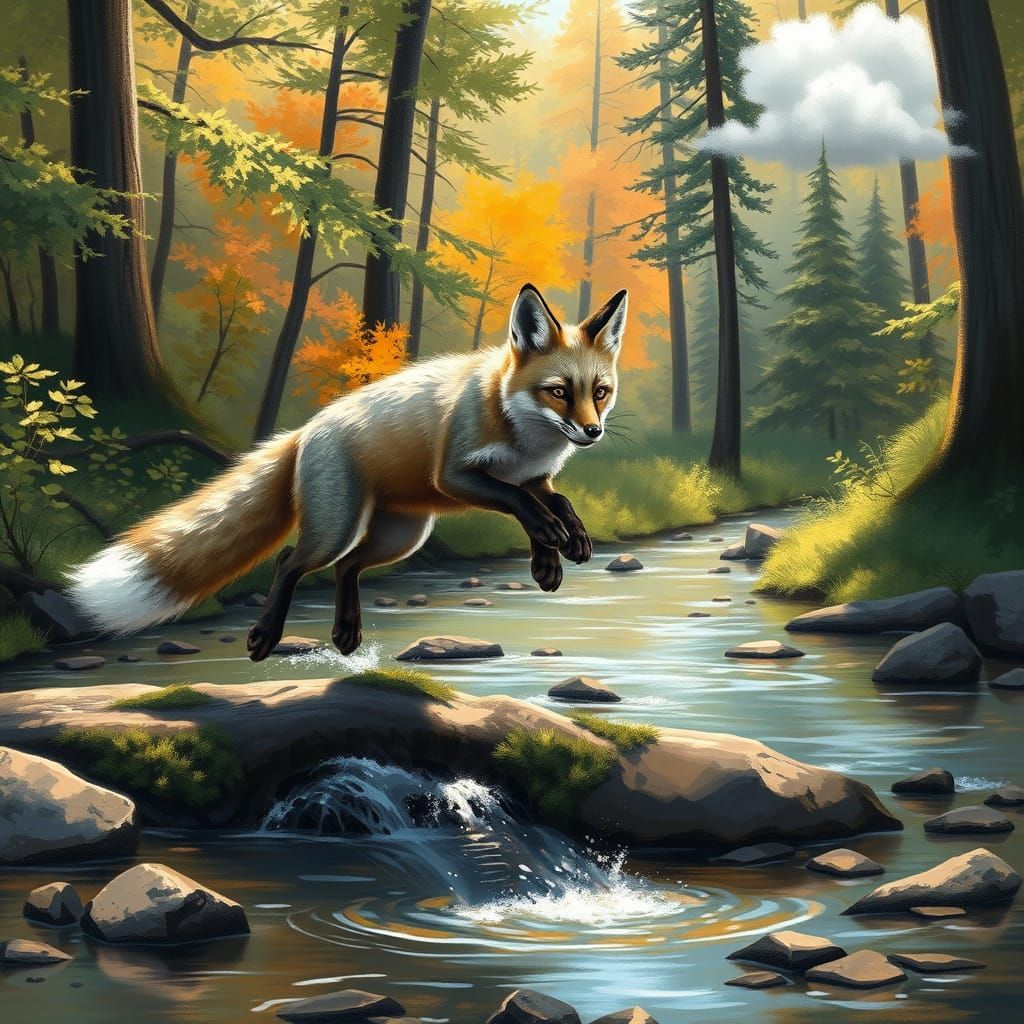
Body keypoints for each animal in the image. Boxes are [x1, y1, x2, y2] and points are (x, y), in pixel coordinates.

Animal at [68, 283, 628, 661]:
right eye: (559, 391)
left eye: (599, 391)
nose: (592, 431)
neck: (523, 434)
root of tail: (304, 430)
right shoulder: (456, 476)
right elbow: (522, 506)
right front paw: (553, 542)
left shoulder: (534, 476)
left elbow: (552, 503)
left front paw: (559, 551)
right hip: (340, 526)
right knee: (292, 561)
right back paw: (265, 636)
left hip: (403, 536)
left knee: (348, 567)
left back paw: (346, 633)